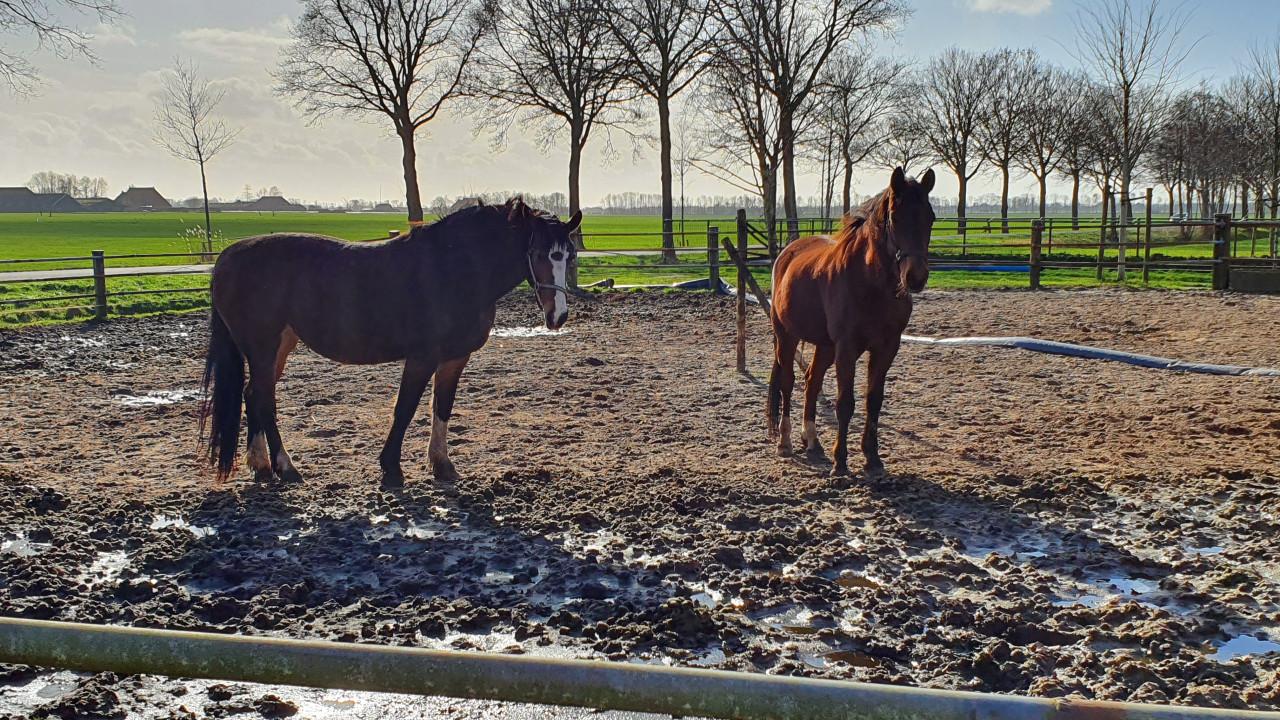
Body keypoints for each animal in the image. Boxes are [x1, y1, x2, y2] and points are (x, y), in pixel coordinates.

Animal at [199, 198, 581, 488]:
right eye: (538, 253)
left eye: (570, 255)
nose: (558, 315)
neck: (454, 270)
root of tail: (227, 257)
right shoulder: (422, 357)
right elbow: (405, 408)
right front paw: (392, 469)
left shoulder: (454, 358)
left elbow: (442, 407)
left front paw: (442, 465)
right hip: (264, 348)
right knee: (264, 399)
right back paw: (286, 468)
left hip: (278, 347)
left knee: (253, 394)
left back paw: (262, 466)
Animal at [767, 167, 936, 478]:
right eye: (895, 217)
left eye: (930, 218)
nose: (915, 277)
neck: (870, 283)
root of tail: (787, 253)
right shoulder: (847, 348)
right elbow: (845, 403)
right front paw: (841, 462)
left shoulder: (886, 348)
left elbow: (873, 402)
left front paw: (872, 458)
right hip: (787, 336)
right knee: (788, 382)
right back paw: (785, 443)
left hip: (825, 346)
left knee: (811, 381)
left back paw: (812, 441)